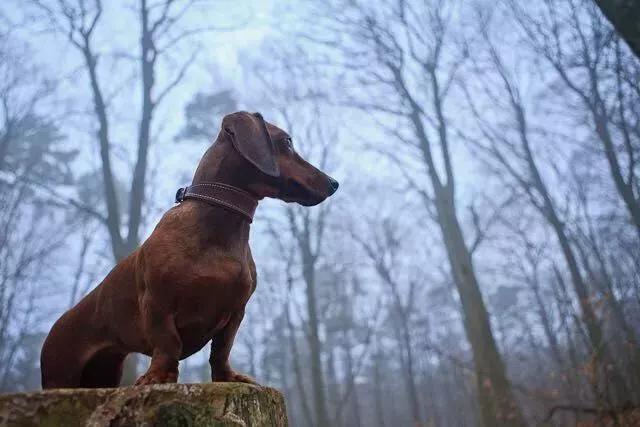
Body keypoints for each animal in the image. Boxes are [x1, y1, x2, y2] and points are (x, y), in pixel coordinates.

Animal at [41, 112, 340, 390]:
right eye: (287, 142)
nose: (334, 182)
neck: (219, 225)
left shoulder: (236, 312)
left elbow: (221, 350)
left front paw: (226, 377)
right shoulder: (157, 302)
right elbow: (168, 343)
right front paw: (159, 376)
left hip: (104, 372)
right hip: (60, 374)